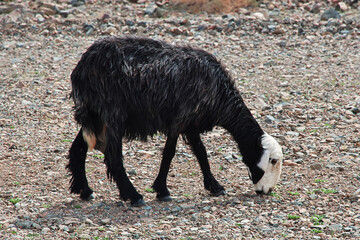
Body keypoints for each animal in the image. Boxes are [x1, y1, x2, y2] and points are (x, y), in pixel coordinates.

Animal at [66, 35, 282, 206]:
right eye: (272, 160)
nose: (267, 191)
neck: (219, 94)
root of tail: (82, 68)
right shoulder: (180, 119)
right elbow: (169, 153)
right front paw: (162, 190)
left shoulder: (192, 124)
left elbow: (201, 153)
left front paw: (215, 186)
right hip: (113, 113)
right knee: (113, 156)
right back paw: (134, 196)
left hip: (95, 115)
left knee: (79, 148)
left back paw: (84, 190)